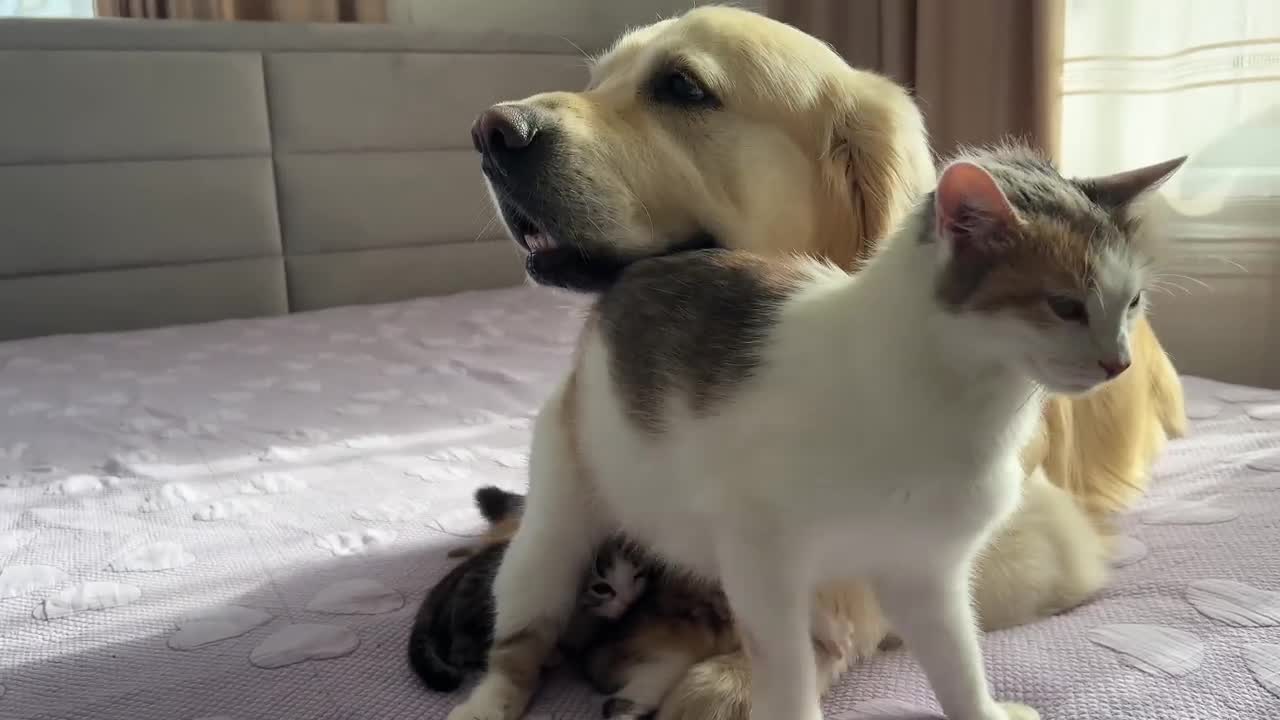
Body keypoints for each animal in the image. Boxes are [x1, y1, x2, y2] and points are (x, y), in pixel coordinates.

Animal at [458, 5, 1177, 717]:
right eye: (1065, 306)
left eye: (1133, 302)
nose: (1117, 363)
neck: (962, 406)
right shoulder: (764, 558)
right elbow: (789, 674)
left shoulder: (927, 571)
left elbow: (959, 663)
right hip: (552, 539)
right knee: (518, 641)